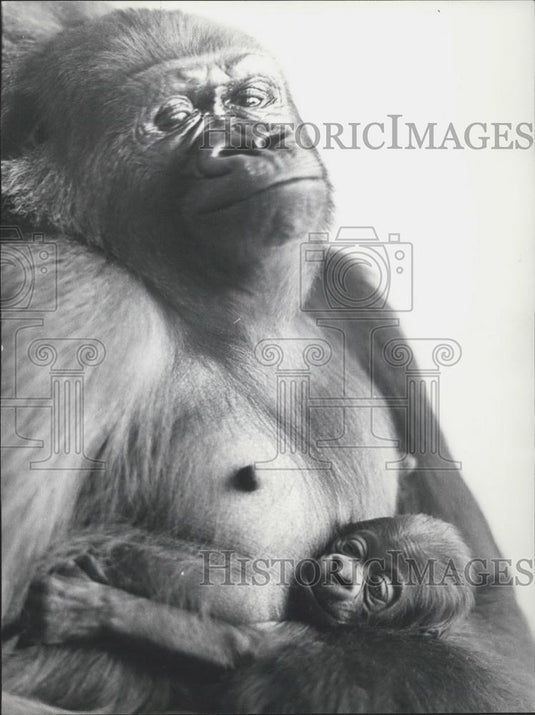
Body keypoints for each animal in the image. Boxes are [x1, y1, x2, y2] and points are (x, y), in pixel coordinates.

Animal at [1, 2, 534, 713]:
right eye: (174, 118)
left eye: (253, 99)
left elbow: (495, 619)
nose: (262, 140)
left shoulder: (349, 293)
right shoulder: (72, 296)